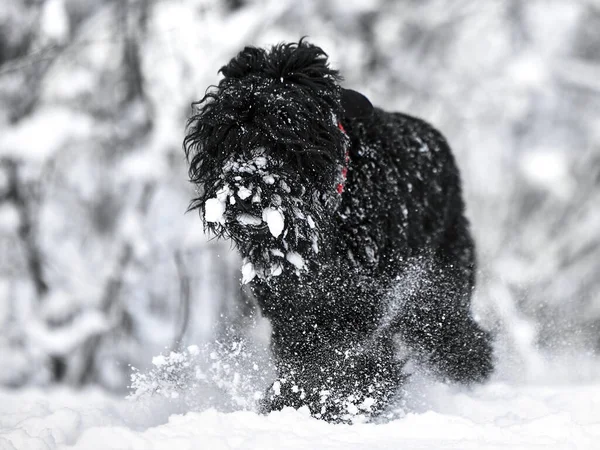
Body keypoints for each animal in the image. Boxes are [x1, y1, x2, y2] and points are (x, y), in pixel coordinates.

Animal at [184, 38, 492, 422]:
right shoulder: (291, 306)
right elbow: (305, 357)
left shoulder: (354, 303)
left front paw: (339, 400)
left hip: (438, 281)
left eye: (287, 130)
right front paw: (292, 402)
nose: (244, 190)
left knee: (453, 331)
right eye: (226, 133)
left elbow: (338, 359)